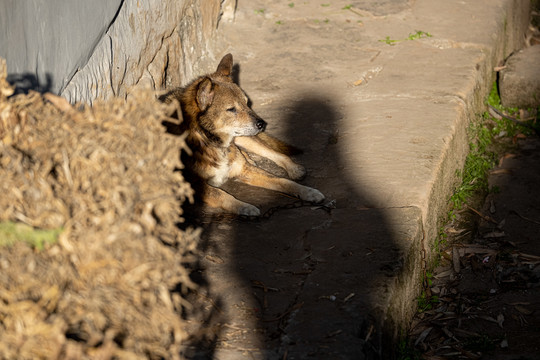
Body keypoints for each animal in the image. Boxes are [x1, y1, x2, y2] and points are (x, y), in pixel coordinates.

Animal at [159, 54, 320, 215]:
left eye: (246, 103)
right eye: (231, 109)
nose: (262, 124)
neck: (209, 140)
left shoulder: (245, 170)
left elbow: (282, 181)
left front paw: (308, 192)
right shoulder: (195, 185)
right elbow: (222, 195)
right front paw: (245, 207)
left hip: (244, 137)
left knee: (271, 152)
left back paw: (293, 168)